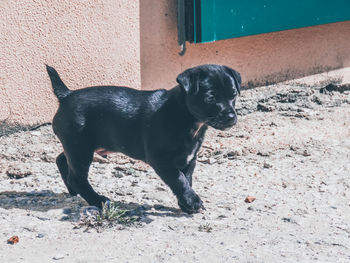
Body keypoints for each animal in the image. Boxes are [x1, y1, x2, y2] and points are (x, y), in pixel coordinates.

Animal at [46, 64, 241, 214]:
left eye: (233, 95)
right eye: (210, 98)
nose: (231, 116)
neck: (187, 118)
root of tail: (66, 95)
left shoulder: (189, 159)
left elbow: (186, 179)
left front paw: (186, 203)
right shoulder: (161, 160)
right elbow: (178, 180)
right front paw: (192, 201)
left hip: (76, 147)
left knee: (62, 160)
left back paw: (73, 191)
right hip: (80, 148)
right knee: (77, 178)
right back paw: (98, 200)